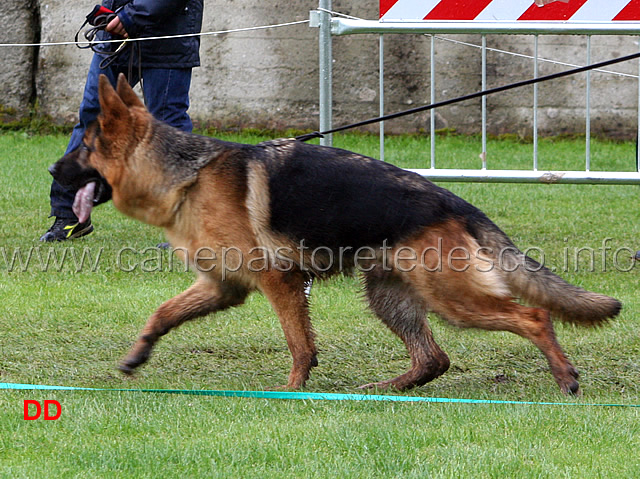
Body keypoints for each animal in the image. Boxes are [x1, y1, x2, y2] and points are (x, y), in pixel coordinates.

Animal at [50, 75, 620, 396]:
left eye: (82, 148)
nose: (53, 171)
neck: (185, 175)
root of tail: (454, 201)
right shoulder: (222, 286)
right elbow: (162, 313)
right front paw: (137, 354)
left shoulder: (278, 283)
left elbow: (299, 343)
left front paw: (291, 390)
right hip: (391, 295)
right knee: (434, 358)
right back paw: (386, 388)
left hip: (452, 297)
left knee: (533, 316)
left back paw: (565, 378)